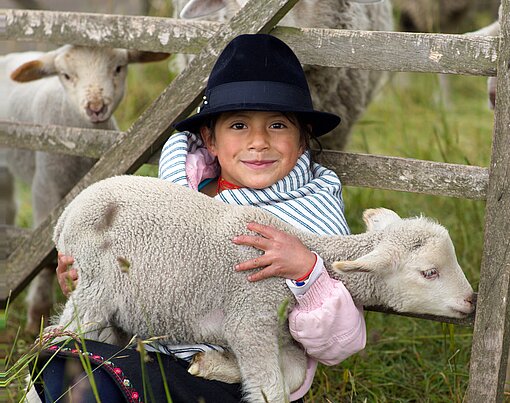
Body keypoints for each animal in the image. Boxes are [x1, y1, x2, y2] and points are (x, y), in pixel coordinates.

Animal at [0, 45, 171, 334]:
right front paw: (37, 315)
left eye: (118, 68)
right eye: (66, 75)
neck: (84, 140)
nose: (95, 107)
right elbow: (47, 261)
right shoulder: (44, 187)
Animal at [50, 175, 474, 403]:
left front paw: (212, 365)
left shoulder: (282, 336)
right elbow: (271, 388)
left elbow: (290, 377)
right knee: (56, 338)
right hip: (94, 285)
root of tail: (66, 215)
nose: (471, 300)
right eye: (430, 272)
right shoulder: (250, 317)